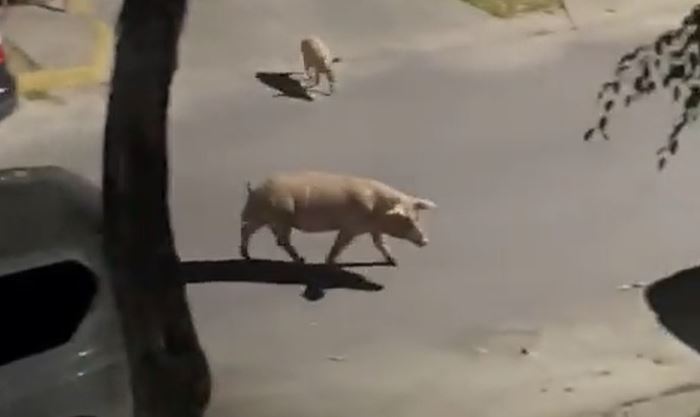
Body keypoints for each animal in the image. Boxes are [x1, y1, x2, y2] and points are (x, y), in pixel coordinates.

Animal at [241, 171, 438, 264]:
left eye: (417, 218)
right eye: (407, 220)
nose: (426, 241)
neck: (378, 210)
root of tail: (254, 190)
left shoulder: (373, 229)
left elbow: (380, 244)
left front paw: (394, 261)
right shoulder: (350, 227)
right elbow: (340, 245)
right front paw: (329, 262)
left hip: (266, 217)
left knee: (248, 229)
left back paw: (247, 256)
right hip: (282, 214)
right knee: (280, 240)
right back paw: (302, 260)